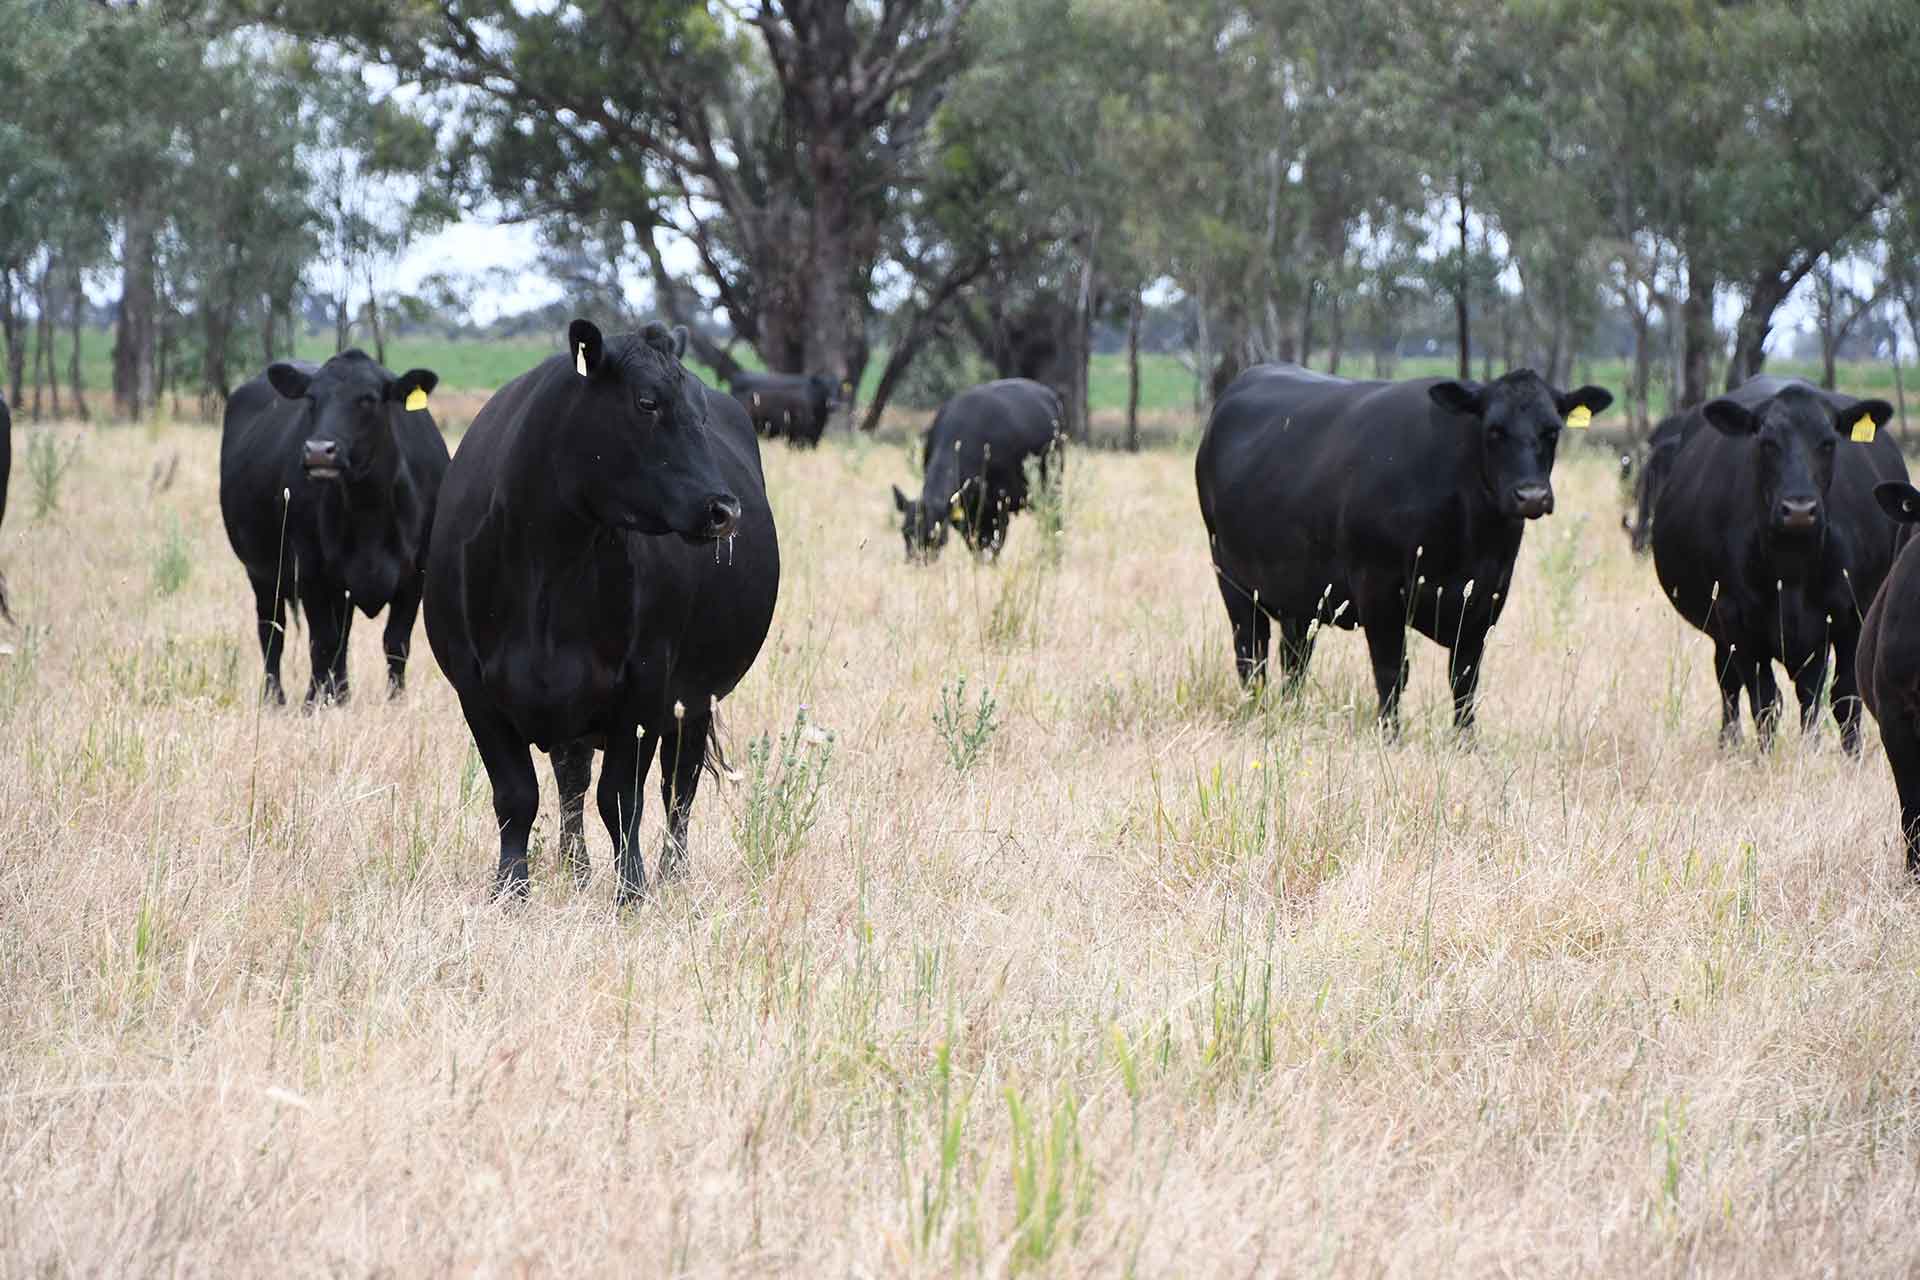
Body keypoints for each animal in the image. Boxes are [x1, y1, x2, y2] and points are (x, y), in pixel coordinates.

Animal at [219, 349, 448, 705]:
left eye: (368, 399)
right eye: (312, 398)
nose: (319, 451)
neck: (369, 510)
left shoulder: (415, 577)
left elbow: (396, 642)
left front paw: (395, 700)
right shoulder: (310, 570)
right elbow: (324, 641)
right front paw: (313, 702)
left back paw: (340, 693)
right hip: (262, 574)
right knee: (272, 632)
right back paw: (277, 699)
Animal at [424, 320, 779, 905]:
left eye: (701, 411)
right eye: (646, 402)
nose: (724, 509)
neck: (548, 563)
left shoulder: (645, 685)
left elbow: (622, 797)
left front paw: (632, 891)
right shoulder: (474, 687)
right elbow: (516, 795)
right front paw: (511, 890)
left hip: (694, 696)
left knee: (677, 786)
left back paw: (671, 873)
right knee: (572, 778)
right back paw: (575, 867)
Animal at [890, 377, 1064, 561]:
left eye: (933, 534)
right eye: (905, 532)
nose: (916, 560)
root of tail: (1046, 393)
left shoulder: (1000, 506)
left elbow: (994, 546)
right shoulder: (966, 514)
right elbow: (975, 545)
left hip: (1052, 485)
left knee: (1054, 522)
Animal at [1196, 363, 1613, 733]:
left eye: (1552, 431)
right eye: (1494, 430)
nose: (1531, 496)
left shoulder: (1487, 596)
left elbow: (1464, 677)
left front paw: (1466, 741)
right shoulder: (1378, 587)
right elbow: (1392, 670)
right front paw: (1390, 736)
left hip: (1299, 592)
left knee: (1294, 656)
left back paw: (1291, 712)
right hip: (1231, 578)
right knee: (1251, 651)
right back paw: (1255, 711)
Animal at [1651, 375, 1902, 752]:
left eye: (1828, 443)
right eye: (1767, 443)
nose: (1798, 509)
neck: (1792, 566)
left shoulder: (1852, 616)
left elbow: (1842, 698)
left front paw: (1843, 755)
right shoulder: (1738, 620)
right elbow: (1765, 700)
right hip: (1723, 629)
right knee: (1728, 681)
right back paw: (1729, 744)